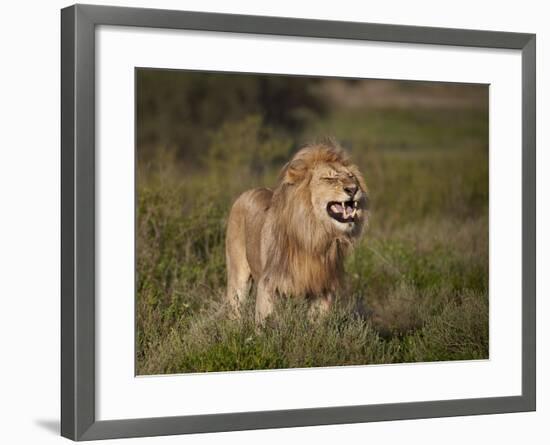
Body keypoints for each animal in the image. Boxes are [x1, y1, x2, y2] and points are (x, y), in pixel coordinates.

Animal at [226, 140, 368, 324]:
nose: (353, 189)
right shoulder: (269, 284)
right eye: (329, 178)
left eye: (351, 176)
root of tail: (246, 192)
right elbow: (265, 324)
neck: (314, 234)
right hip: (238, 275)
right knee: (235, 306)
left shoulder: (323, 289)